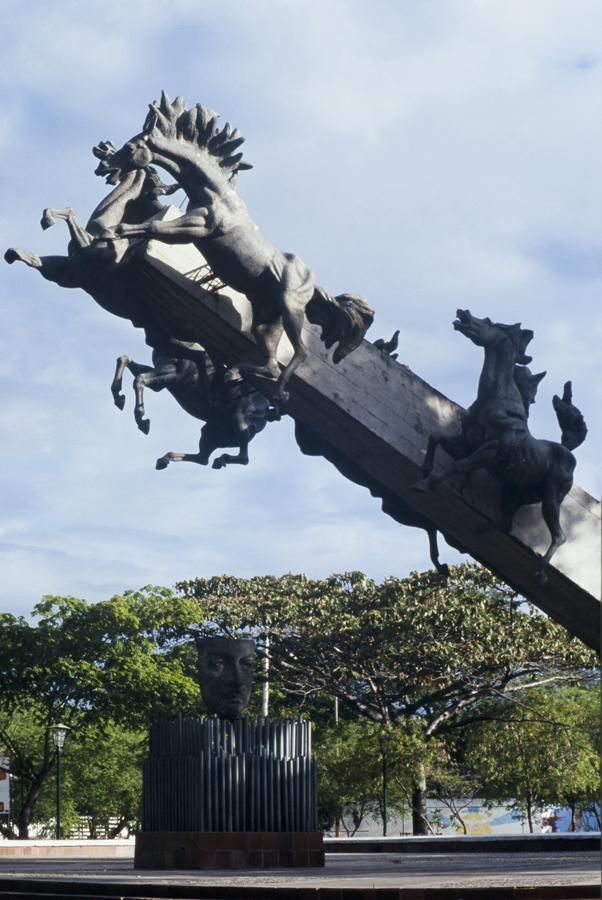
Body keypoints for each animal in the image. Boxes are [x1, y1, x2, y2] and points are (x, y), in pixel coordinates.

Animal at [98, 91, 370, 400]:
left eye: (132, 146)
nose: (105, 165)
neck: (213, 190)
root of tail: (315, 288)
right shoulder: (194, 227)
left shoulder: (198, 228)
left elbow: (154, 227)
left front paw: (110, 233)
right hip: (266, 321)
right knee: (270, 364)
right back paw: (235, 372)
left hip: (291, 307)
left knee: (300, 353)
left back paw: (276, 391)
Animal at [414, 310, 584, 580]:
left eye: (490, 323)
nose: (462, 313)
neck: (496, 399)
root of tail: (569, 454)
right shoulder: (466, 443)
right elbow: (435, 437)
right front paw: (425, 470)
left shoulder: (493, 449)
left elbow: (460, 465)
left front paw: (425, 483)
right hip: (514, 492)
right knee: (505, 524)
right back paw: (477, 532)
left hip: (551, 497)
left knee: (560, 535)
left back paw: (540, 573)